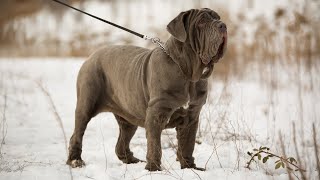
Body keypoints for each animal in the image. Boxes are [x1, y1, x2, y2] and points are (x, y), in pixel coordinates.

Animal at [67, 8, 228, 172]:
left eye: (218, 17)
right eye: (201, 21)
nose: (223, 25)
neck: (188, 73)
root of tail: (91, 56)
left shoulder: (192, 116)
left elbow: (187, 145)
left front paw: (190, 168)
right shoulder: (156, 113)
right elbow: (155, 145)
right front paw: (154, 169)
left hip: (128, 117)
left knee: (121, 143)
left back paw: (132, 160)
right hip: (86, 104)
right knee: (77, 134)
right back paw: (75, 161)